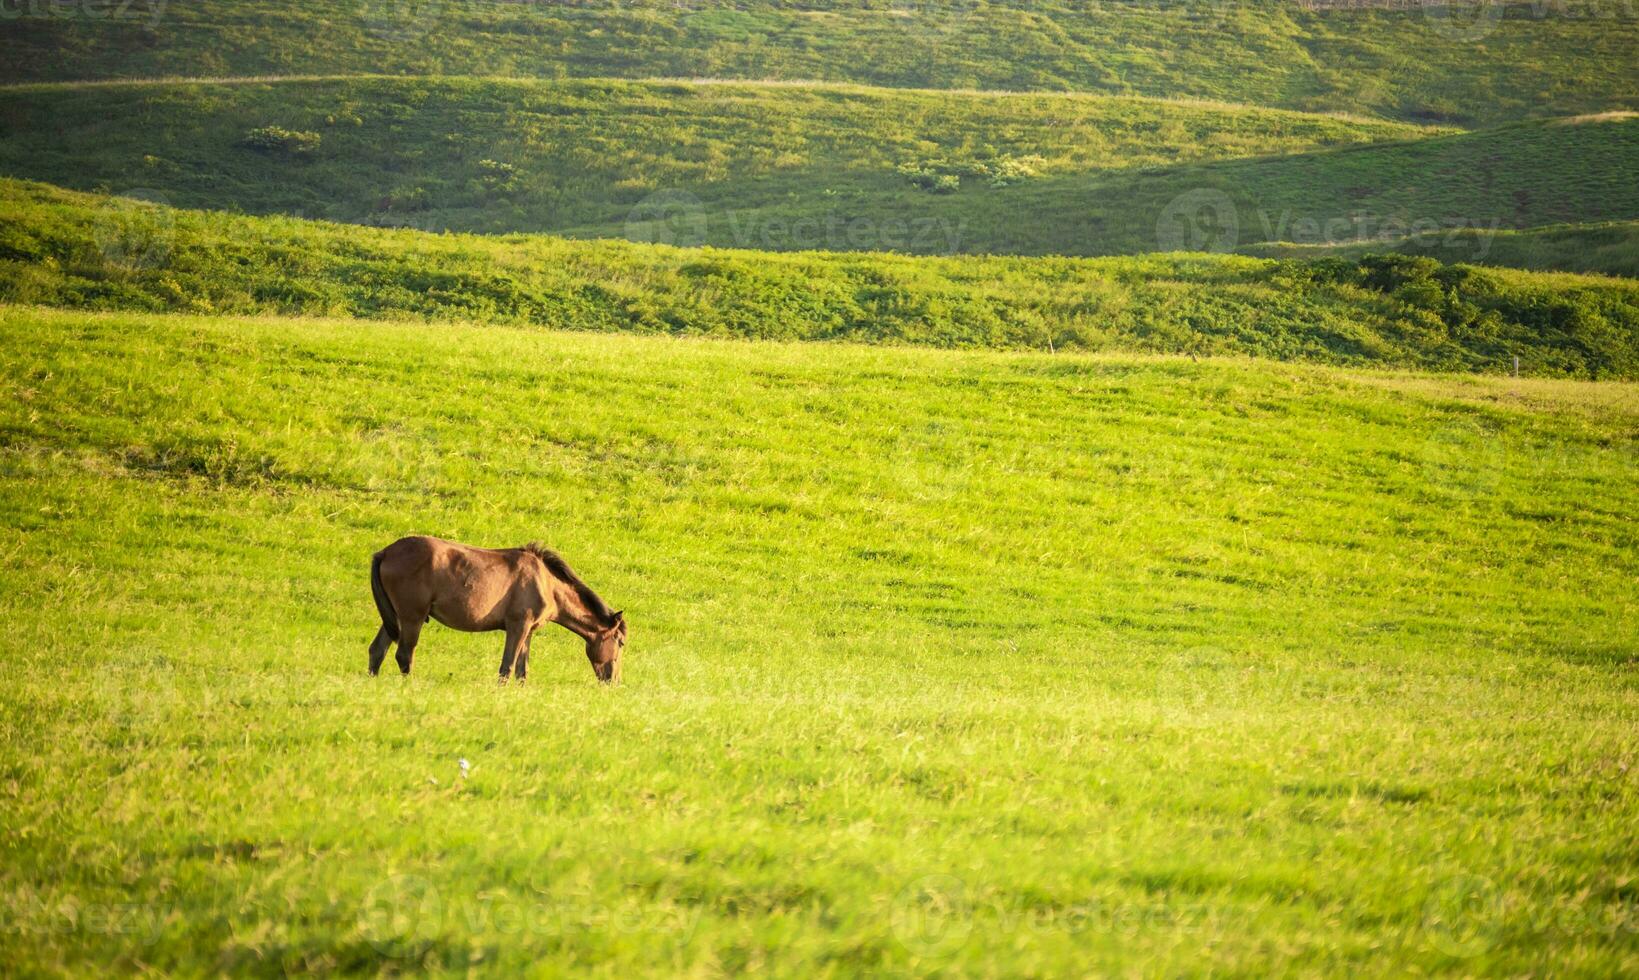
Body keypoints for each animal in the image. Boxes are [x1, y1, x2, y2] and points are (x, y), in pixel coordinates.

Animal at [368, 537, 622, 685]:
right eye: (620, 643)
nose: (615, 681)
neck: (546, 582)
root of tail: (386, 552)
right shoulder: (518, 626)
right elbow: (507, 667)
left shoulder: (527, 631)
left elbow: (521, 670)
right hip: (412, 617)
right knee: (404, 655)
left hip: (395, 618)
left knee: (377, 650)